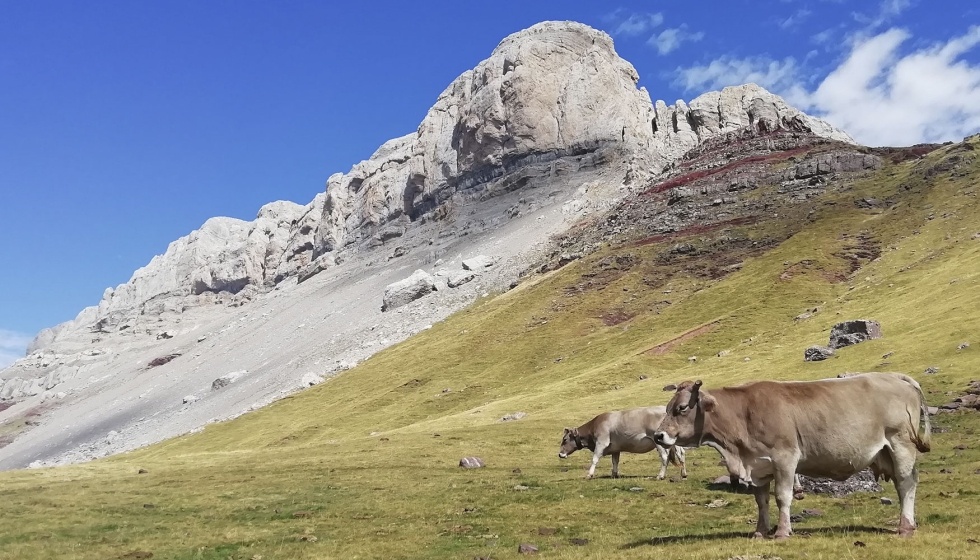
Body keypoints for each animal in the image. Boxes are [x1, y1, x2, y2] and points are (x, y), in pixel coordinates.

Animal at [559, 406, 687, 480]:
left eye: (565, 440)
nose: (560, 454)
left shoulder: (601, 442)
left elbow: (594, 459)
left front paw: (589, 475)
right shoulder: (616, 448)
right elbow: (615, 461)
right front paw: (614, 474)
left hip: (659, 442)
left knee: (665, 457)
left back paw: (660, 476)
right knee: (681, 454)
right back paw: (684, 474)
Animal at [653, 373, 931, 539]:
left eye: (682, 408)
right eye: (666, 407)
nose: (658, 435)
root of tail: (895, 376)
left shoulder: (785, 458)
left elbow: (782, 497)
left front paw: (783, 531)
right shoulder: (759, 465)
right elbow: (761, 501)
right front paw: (760, 532)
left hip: (900, 443)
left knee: (906, 483)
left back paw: (905, 527)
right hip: (885, 452)